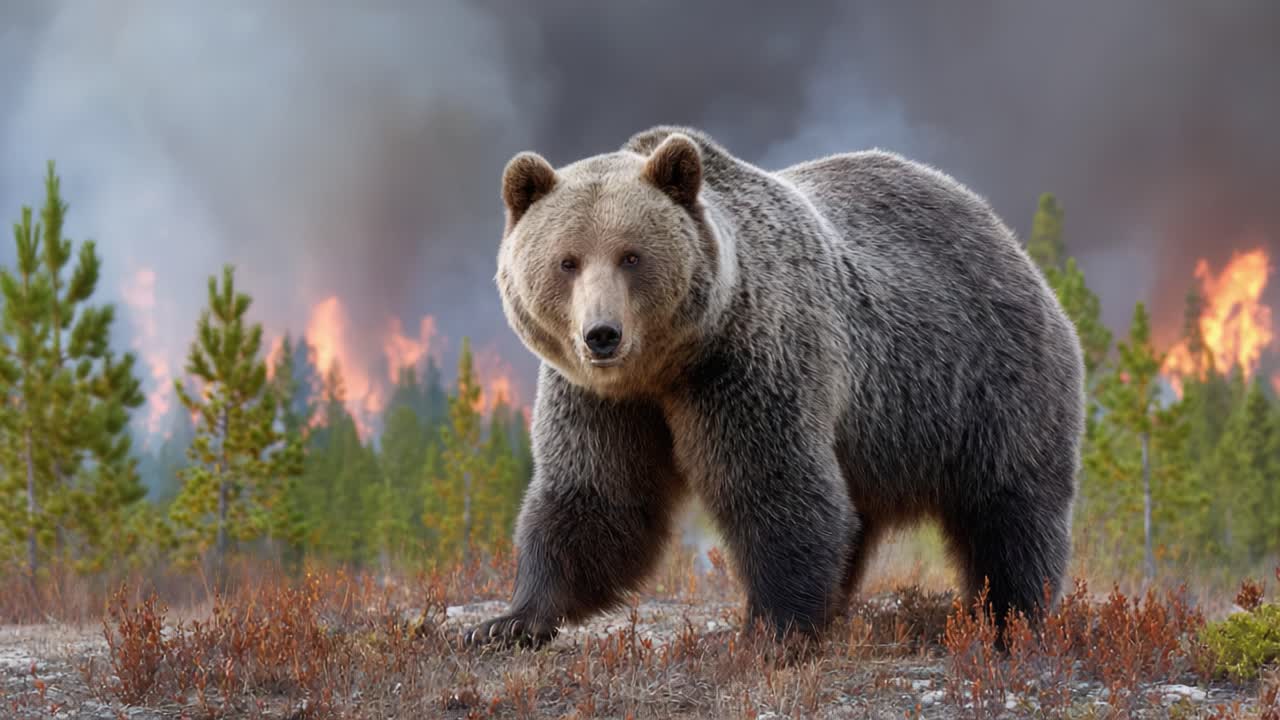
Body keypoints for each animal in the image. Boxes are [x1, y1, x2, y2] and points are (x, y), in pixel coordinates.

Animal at [466, 125, 1085, 649]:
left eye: (631, 256)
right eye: (567, 261)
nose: (601, 334)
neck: (668, 365)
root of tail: (1006, 237)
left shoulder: (751, 365)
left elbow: (776, 488)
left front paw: (772, 628)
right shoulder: (602, 401)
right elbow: (596, 496)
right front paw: (507, 621)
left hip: (985, 379)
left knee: (1010, 509)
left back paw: (1009, 619)